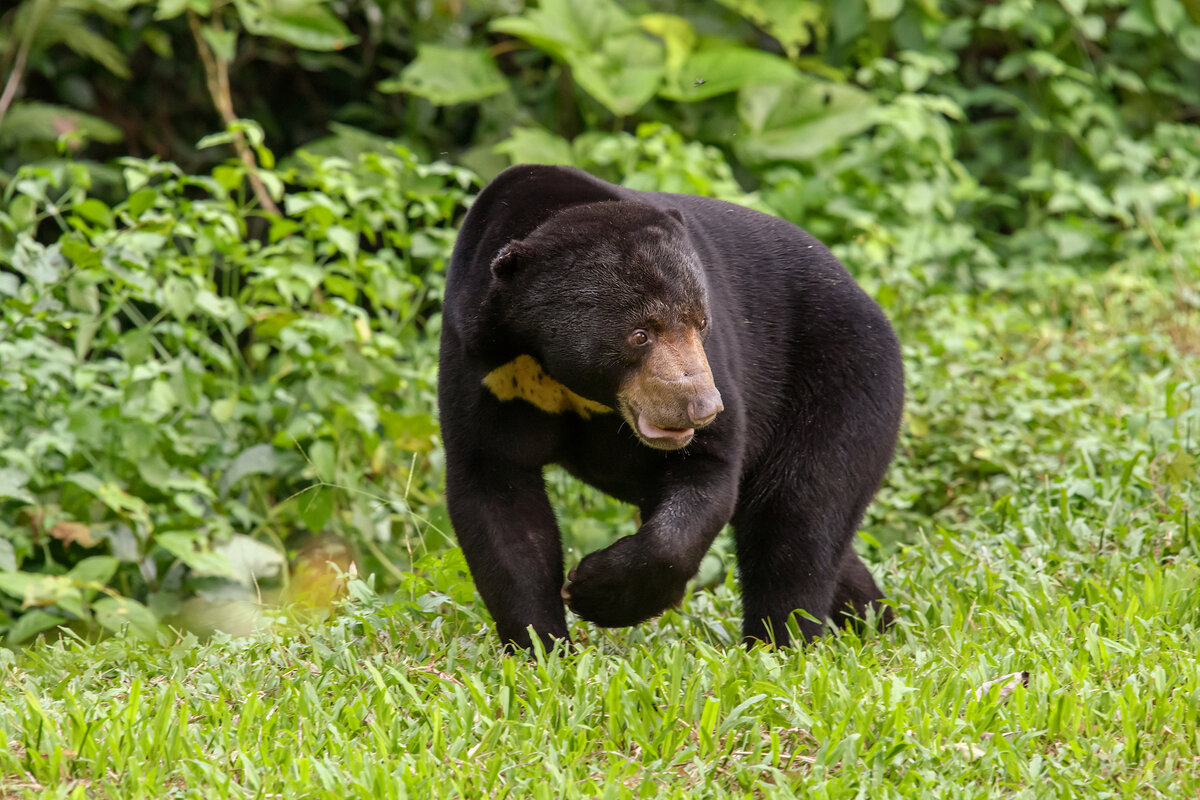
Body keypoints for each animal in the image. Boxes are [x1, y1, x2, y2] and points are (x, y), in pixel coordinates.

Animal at [439, 164, 902, 652]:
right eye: (640, 334)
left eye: (701, 321)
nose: (702, 407)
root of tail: (868, 300)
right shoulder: (484, 368)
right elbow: (498, 493)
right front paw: (541, 645)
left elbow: (706, 472)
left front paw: (594, 590)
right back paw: (872, 622)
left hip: (843, 380)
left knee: (800, 514)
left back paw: (781, 640)